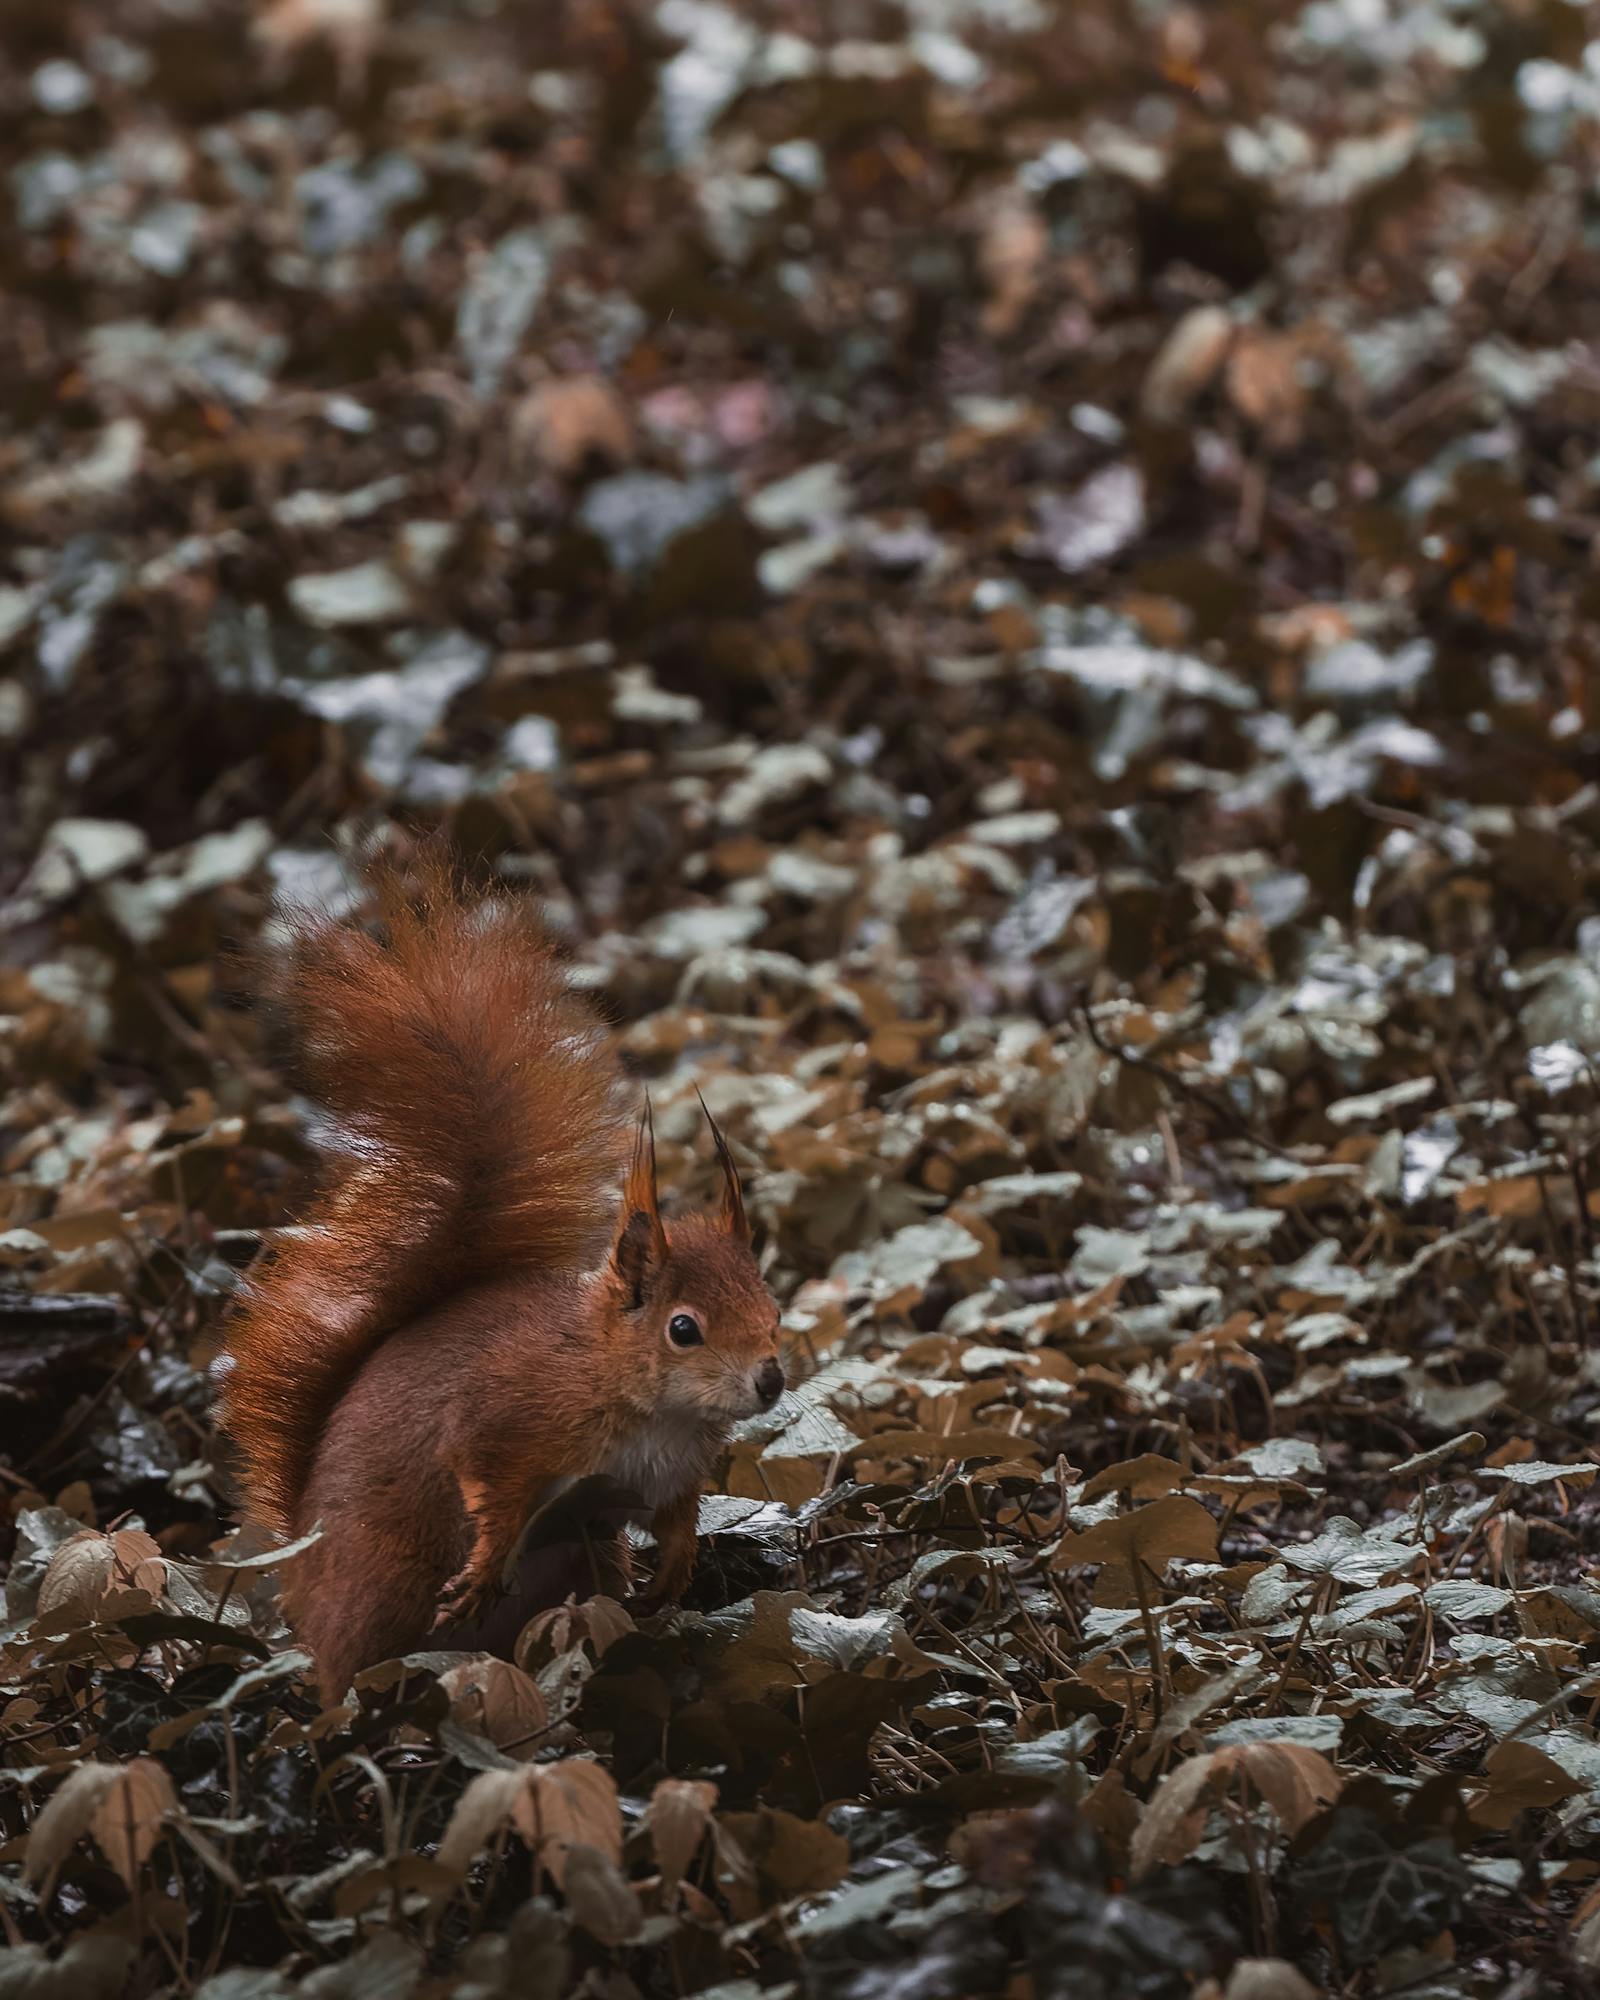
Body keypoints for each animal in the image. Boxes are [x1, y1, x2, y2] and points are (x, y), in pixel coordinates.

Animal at [217, 860, 780, 1704]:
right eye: (684, 1328)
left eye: (774, 1309)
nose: (770, 1381)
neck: (648, 1408)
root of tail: (301, 1576)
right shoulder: (508, 1417)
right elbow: (488, 1480)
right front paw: (484, 1565)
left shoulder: (666, 1478)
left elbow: (678, 1519)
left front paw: (678, 1568)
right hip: (383, 1587)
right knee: (354, 1666)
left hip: (581, 1563)